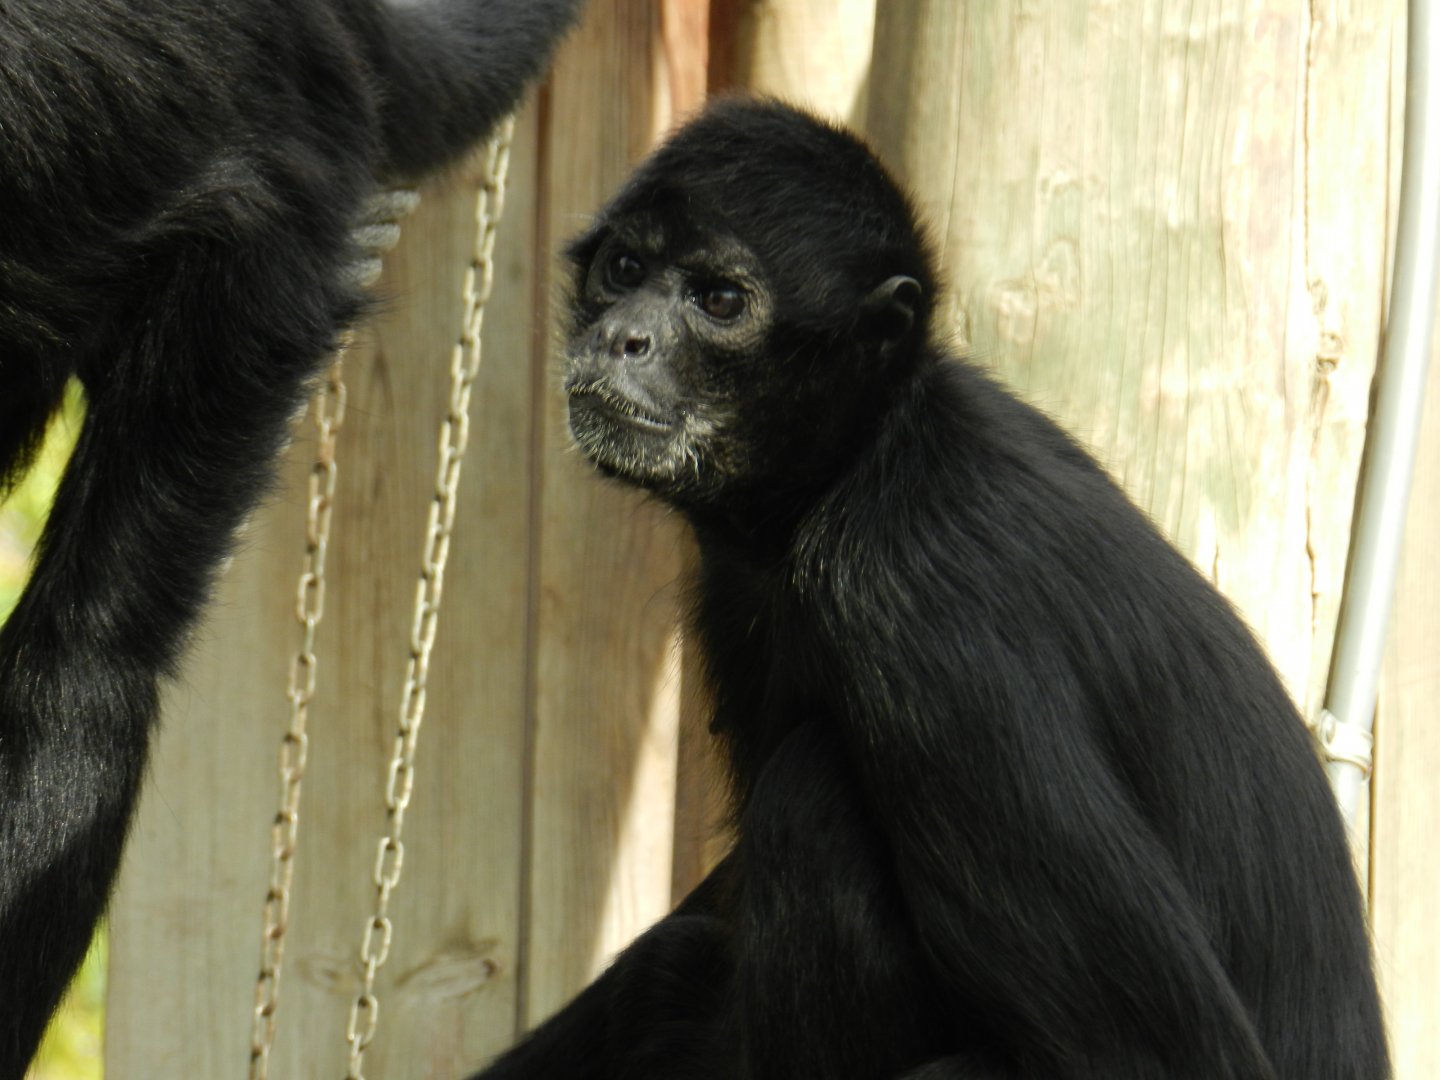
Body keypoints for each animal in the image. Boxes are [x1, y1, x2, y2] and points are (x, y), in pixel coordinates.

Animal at [472, 98, 1389, 1080]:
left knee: (814, 799)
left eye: (718, 301)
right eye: (625, 270)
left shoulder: (915, 611)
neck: (868, 455)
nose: (622, 337)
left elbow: (1172, 1055)